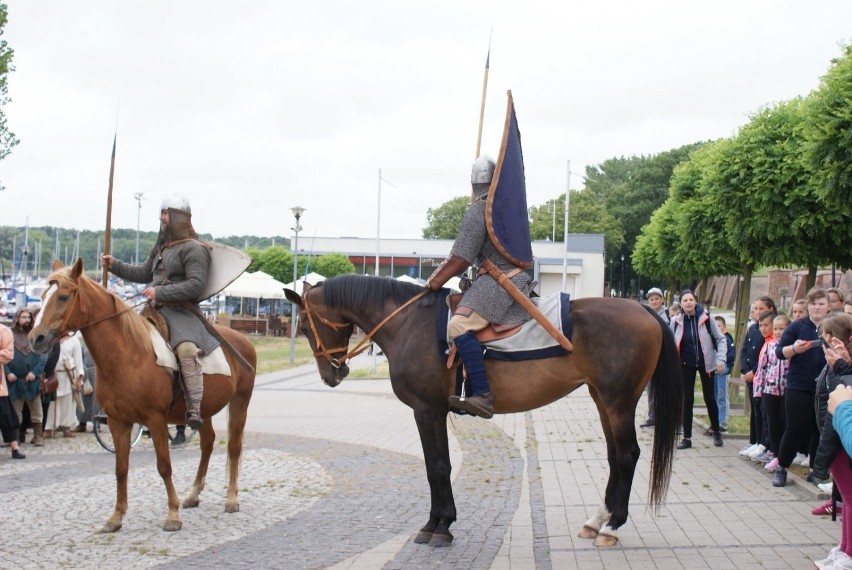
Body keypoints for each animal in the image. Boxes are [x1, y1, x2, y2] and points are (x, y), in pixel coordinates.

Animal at [30, 260, 256, 532]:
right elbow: (121, 468)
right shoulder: (118, 422)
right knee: (208, 443)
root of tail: (242, 340)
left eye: (63, 296)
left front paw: (172, 514)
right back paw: (193, 494)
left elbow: (164, 466)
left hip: (240, 402)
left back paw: (231, 498)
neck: (128, 355)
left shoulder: (156, 420)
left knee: (233, 447)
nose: (36, 338)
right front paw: (116, 516)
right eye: (42, 296)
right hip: (204, 410)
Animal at [284, 274, 680, 544]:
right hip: (602, 400)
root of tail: (642, 307)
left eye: (303, 325)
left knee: (628, 455)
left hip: (619, 402)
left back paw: (613, 525)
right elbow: (435, 466)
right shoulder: (432, 412)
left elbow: (438, 468)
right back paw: (597, 521)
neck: (408, 324)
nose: (331, 375)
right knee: (615, 457)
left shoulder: (426, 411)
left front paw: (439, 526)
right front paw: (439, 522)